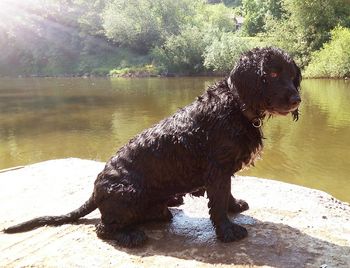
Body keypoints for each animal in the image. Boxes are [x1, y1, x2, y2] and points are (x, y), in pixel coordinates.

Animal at [2, 47, 300, 248]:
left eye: (292, 74)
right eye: (272, 73)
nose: (296, 98)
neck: (236, 105)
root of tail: (96, 191)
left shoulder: (222, 170)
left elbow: (225, 195)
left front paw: (234, 206)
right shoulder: (217, 169)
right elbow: (217, 202)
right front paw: (227, 231)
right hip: (129, 192)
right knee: (103, 228)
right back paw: (130, 235)